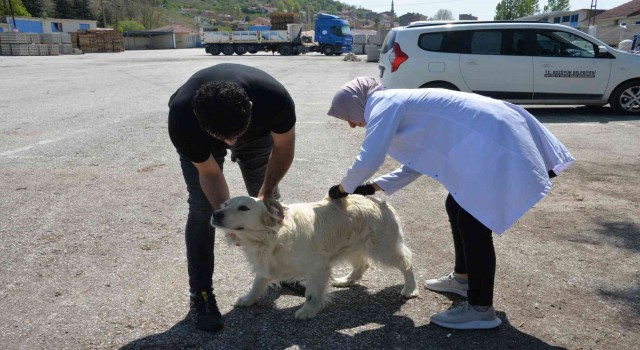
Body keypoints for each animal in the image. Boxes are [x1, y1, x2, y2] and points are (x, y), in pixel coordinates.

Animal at [212, 194, 418, 320]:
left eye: (243, 207)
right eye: (226, 204)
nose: (215, 214)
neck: (272, 235)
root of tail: (378, 201)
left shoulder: (317, 266)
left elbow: (311, 294)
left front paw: (308, 311)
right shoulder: (268, 262)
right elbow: (257, 283)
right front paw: (248, 299)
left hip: (383, 248)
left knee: (407, 263)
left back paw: (410, 288)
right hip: (352, 246)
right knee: (362, 264)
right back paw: (346, 280)